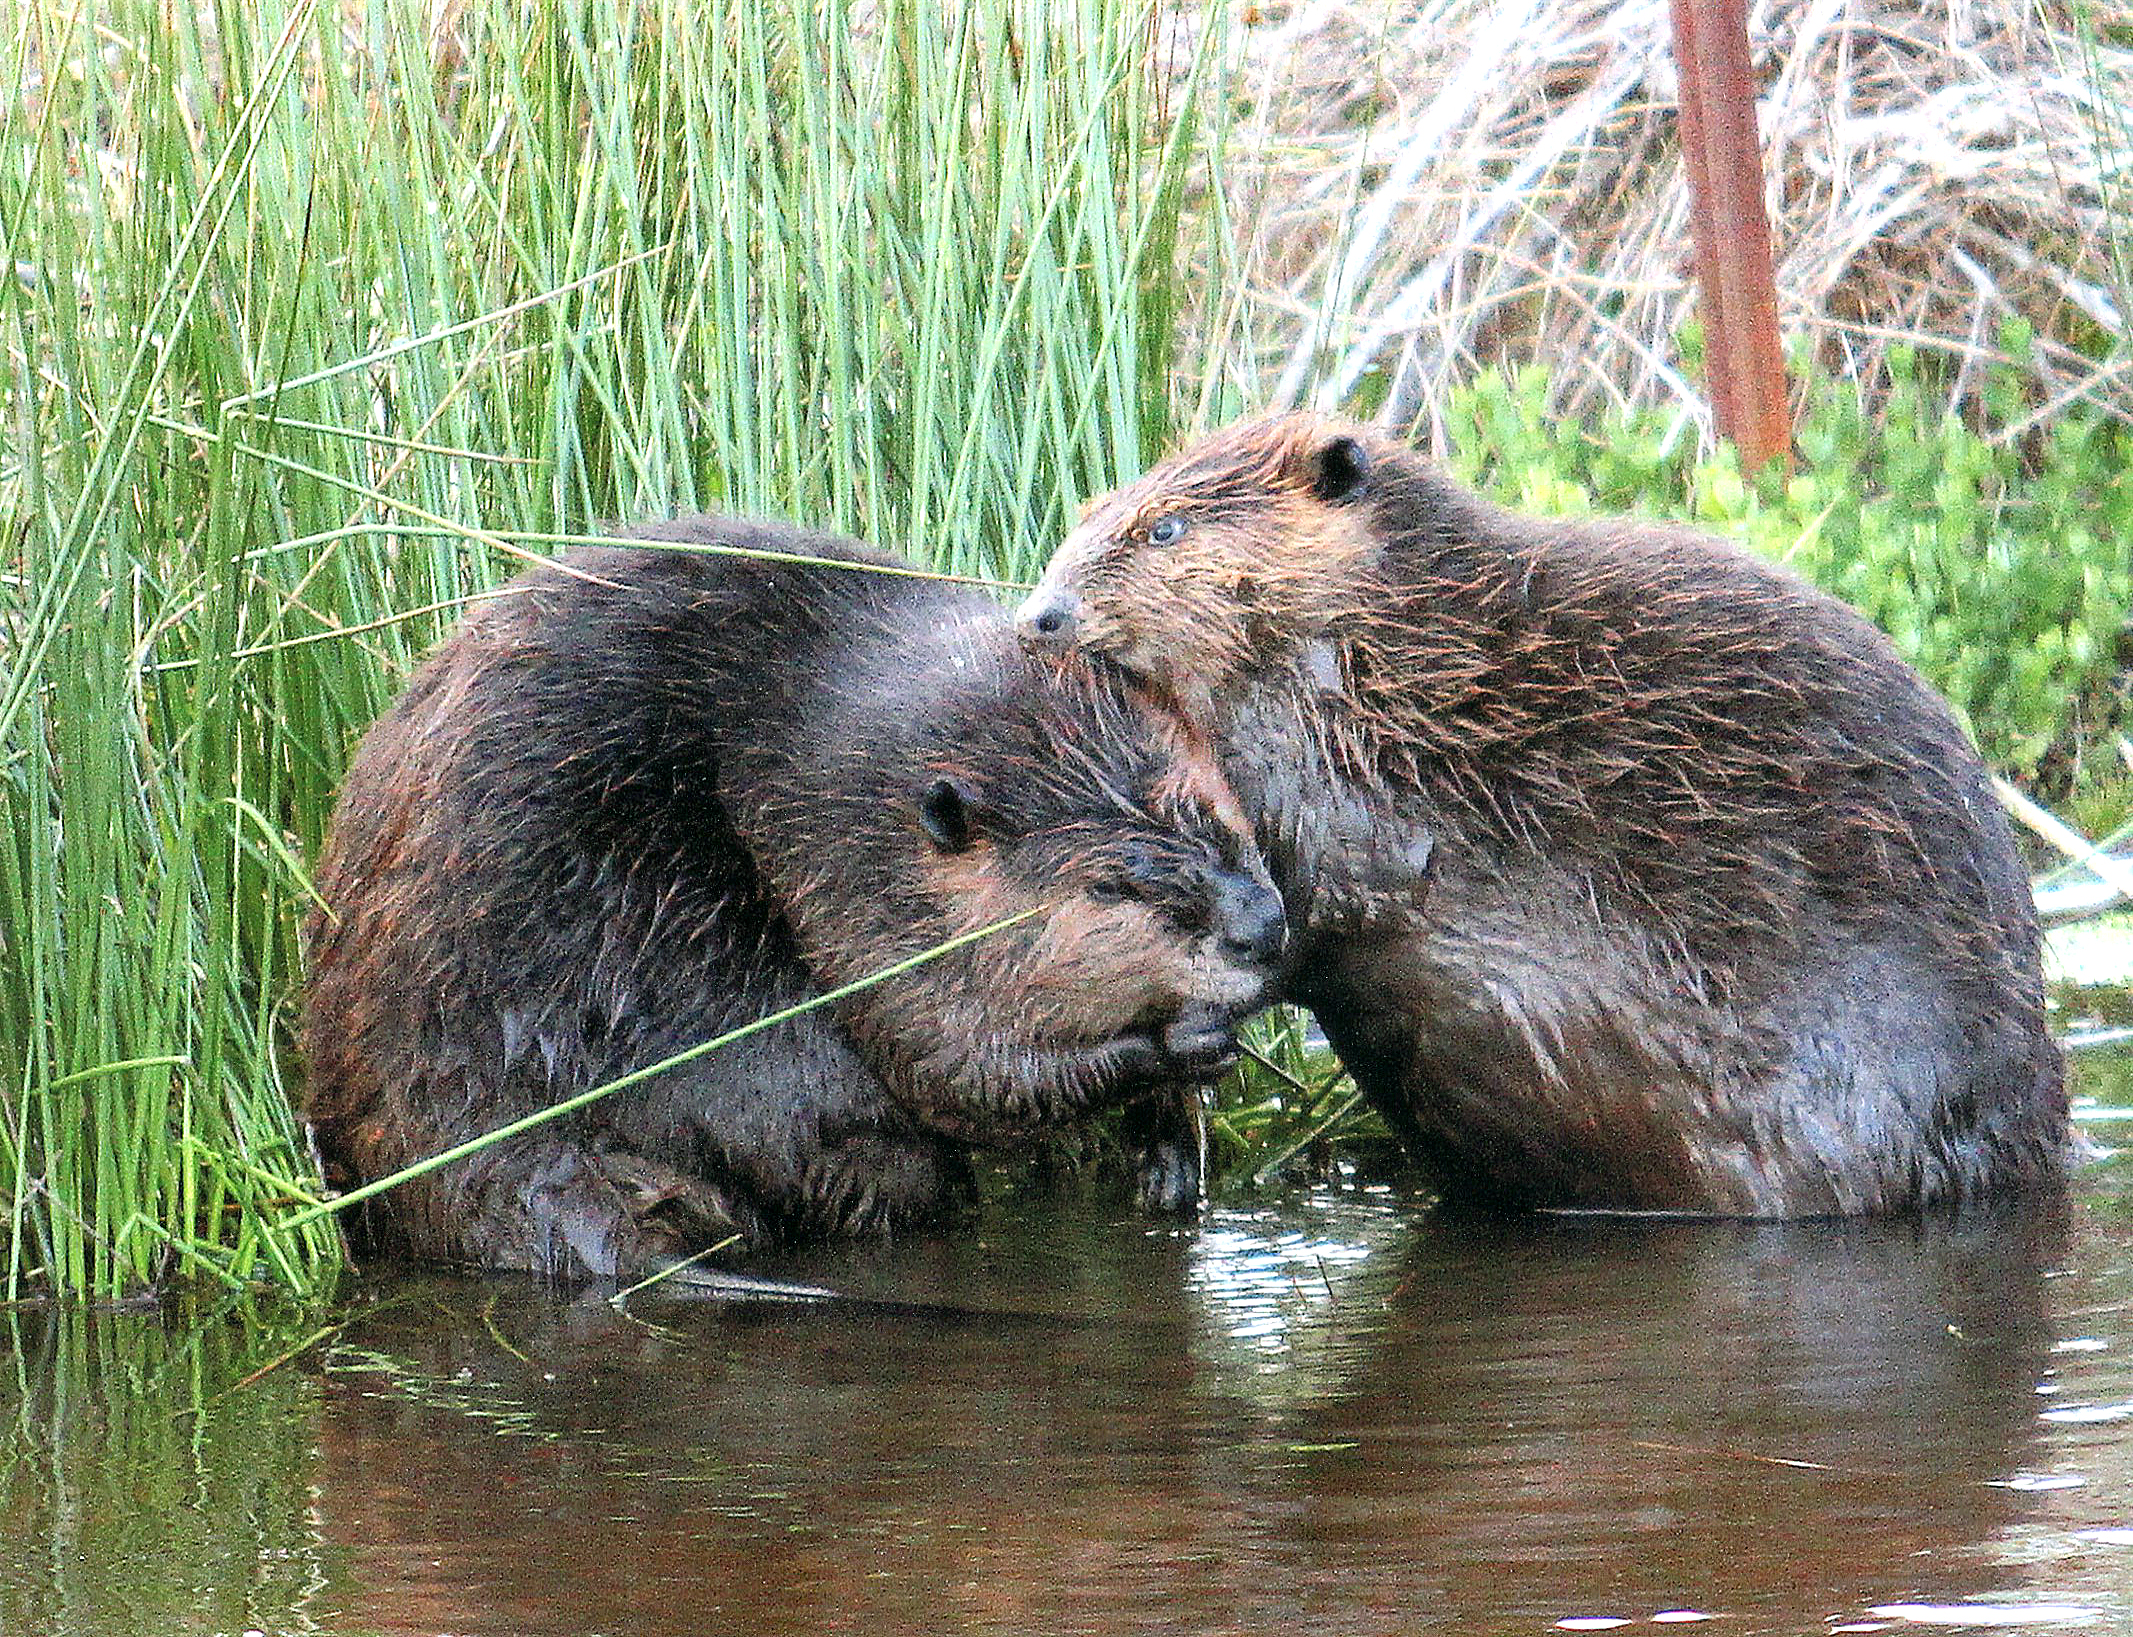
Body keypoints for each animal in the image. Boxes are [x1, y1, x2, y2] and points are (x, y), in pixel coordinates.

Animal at [304, 519, 1285, 1281]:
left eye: (1213, 810)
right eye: (1109, 884)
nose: (1262, 929)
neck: (824, 750)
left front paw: (1171, 1148)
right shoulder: (852, 887)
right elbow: (955, 1068)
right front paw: (1184, 1045)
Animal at [1015, 413, 2068, 1216]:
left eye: (1166, 529)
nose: (1041, 615)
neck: (1385, 648)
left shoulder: (1352, 769)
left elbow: (1313, 898)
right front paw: (1160, 1142)